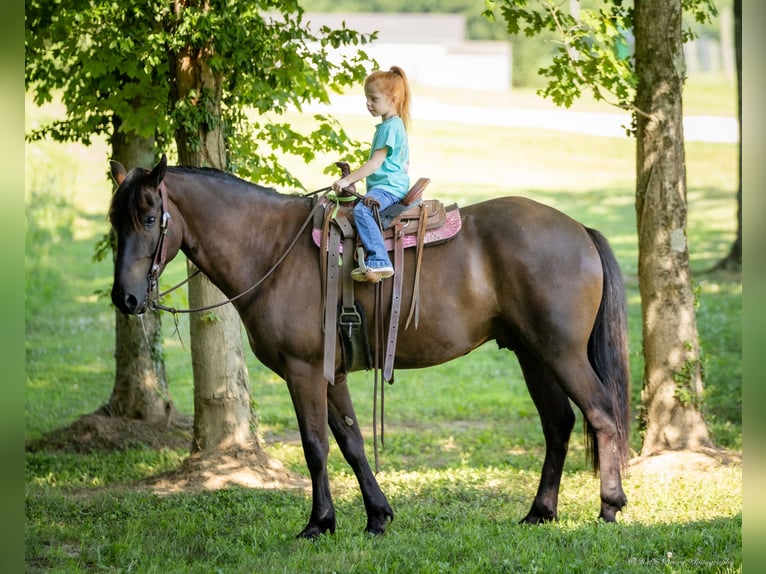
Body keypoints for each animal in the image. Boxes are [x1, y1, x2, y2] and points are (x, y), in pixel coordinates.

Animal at [111, 153, 632, 540]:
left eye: (150, 218)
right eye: (116, 222)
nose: (125, 298)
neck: (273, 250)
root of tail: (579, 230)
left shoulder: (303, 372)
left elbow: (316, 445)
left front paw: (319, 523)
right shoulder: (330, 374)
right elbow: (351, 441)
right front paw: (377, 515)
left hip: (561, 353)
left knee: (602, 415)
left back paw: (610, 506)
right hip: (533, 355)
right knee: (559, 424)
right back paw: (540, 511)